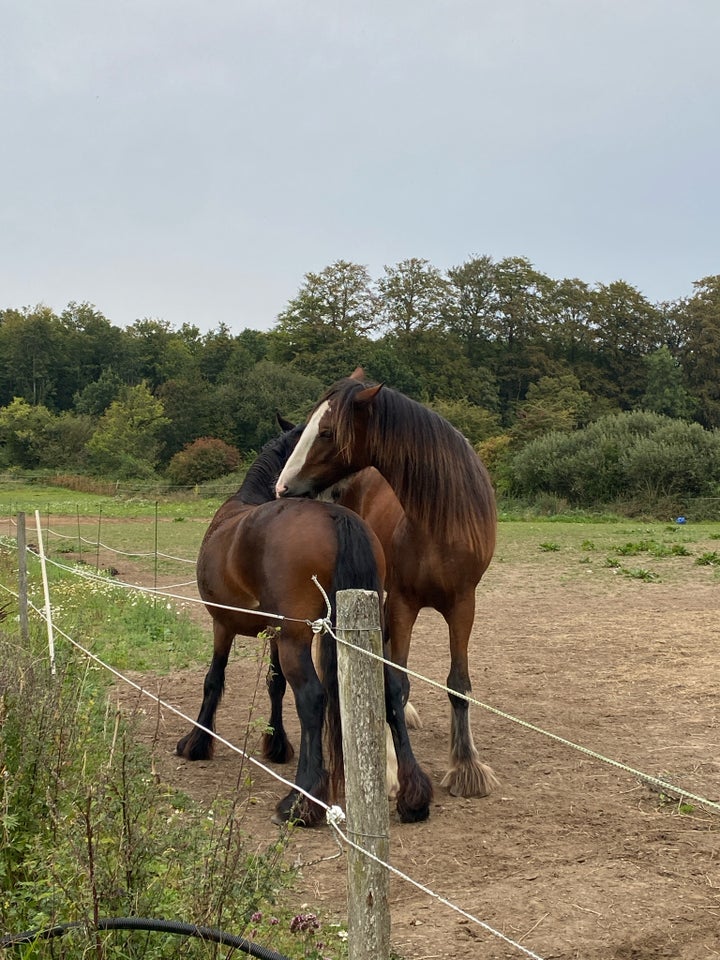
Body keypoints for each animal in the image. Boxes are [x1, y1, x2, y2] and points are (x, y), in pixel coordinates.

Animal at [176, 426, 430, 824]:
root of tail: (333, 517)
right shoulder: (274, 632)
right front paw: (276, 744)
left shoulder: (224, 625)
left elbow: (213, 679)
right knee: (391, 690)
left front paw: (197, 742)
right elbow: (274, 684)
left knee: (311, 697)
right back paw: (414, 796)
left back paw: (301, 801)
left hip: (295, 640)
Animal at [278, 372, 500, 800]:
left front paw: (466, 766)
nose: (283, 488)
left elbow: (458, 685)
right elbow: (396, 683)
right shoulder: (402, 605)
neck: (436, 524)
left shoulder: (463, 606)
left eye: (327, 432)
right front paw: (392, 769)